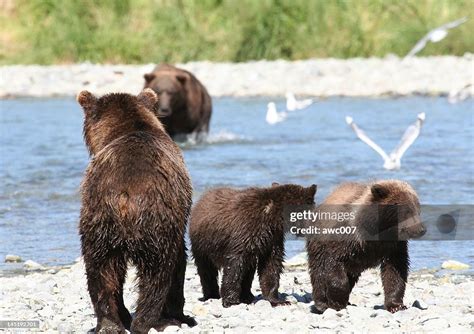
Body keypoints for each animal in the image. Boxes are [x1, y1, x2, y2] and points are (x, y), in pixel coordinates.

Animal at [78, 87, 196, 332]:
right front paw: (179, 313)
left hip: (97, 221)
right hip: (157, 221)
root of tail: (125, 197)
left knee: (100, 271)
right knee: (158, 271)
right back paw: (150, 320)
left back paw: (109, 322)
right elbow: (179, 260)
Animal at [190, 183, 318, 308]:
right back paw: (211, 295)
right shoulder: (245, 231)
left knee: (248, 270)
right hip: (202, 244)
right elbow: (235, 264)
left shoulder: (272, 239)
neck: (273, 218)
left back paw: (247, 296)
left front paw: (278, 300)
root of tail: (201, 200)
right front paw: (231, 301)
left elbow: (271, 266)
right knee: (206, 270)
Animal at [306, 180, 428, 314]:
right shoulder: (346, 239)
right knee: (319, 270)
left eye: (418, 209)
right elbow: (333, 262)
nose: (421, 230)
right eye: (407, 211)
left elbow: (395, 270)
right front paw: (336, 302)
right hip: (317, 243)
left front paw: (396, 305)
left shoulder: (393, 247)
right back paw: (321, 303)